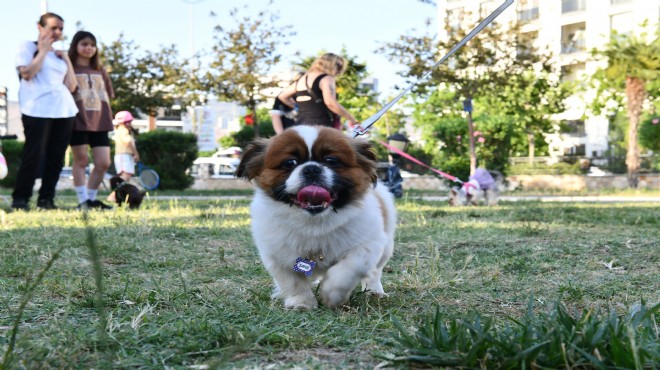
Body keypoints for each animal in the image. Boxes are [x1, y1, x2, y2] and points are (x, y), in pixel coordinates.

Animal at [237, 125, 398, 308]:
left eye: (331, 160)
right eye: (289, 163)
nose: (311, 169)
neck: (313, 223)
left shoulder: (370, 244)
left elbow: (350, 268)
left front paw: (333, 293)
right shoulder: (276, 254)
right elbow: (292, 282)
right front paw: (301, 303)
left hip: (386, 248)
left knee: (374, 272)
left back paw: (374, 292)